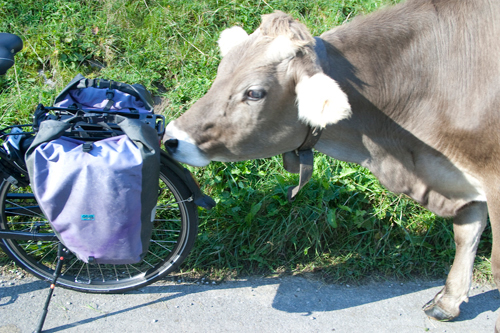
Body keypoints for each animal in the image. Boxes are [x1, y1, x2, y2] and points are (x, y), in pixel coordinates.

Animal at [166, 0, 500, 330]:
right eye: (220, 74)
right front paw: (448, 302)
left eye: (254, 93)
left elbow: (494, 262)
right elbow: (466, 233)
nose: (171, 137)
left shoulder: (491, 180)